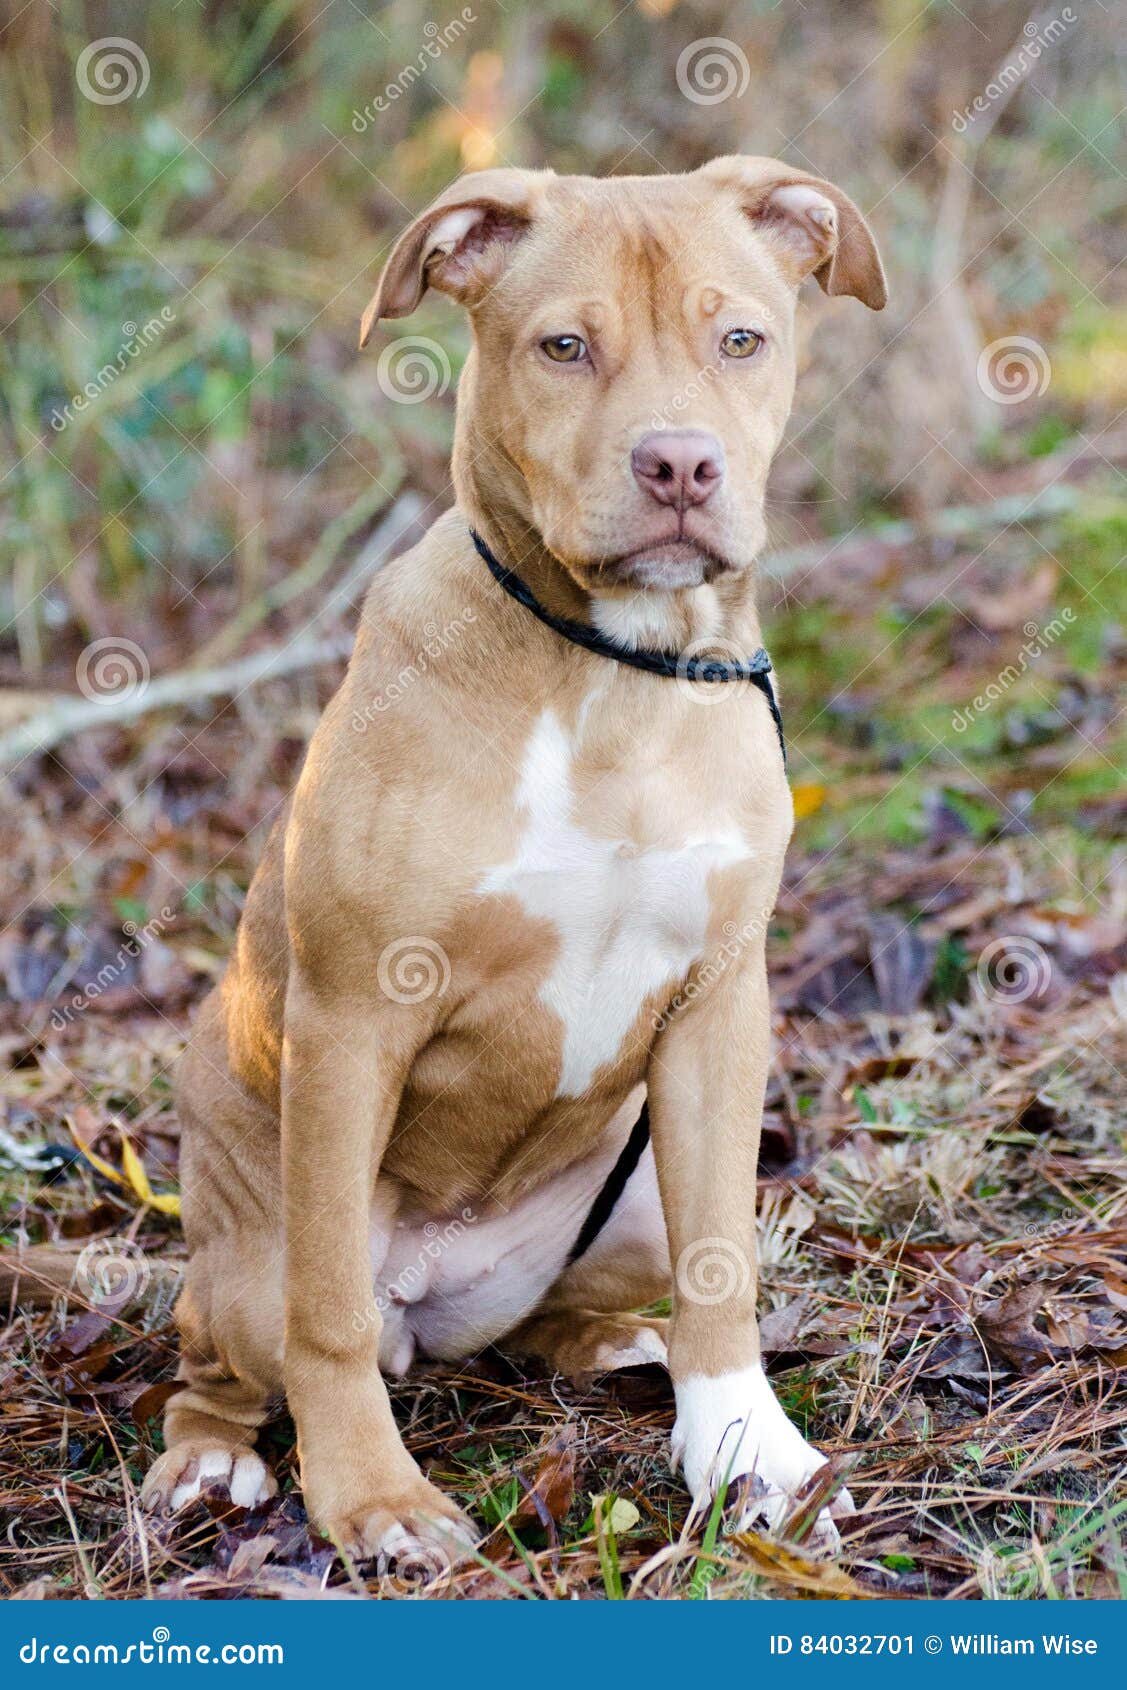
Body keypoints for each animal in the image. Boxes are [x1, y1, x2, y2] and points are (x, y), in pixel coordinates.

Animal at [141, 155, 885, 1554]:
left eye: (740, 340)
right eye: (563, 347)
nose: (679, 463)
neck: (613, 674)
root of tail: (441, 1301)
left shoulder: (719, 1007)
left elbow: (724, 1265)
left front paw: (746, 1447)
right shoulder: (354, 1018)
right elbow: (328, 1316)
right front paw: (371, 1499)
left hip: (629, 1192)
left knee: (570, 1312)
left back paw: (615, 1343)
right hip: (249, 1253)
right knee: (227, 1354)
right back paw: (213, 1459)